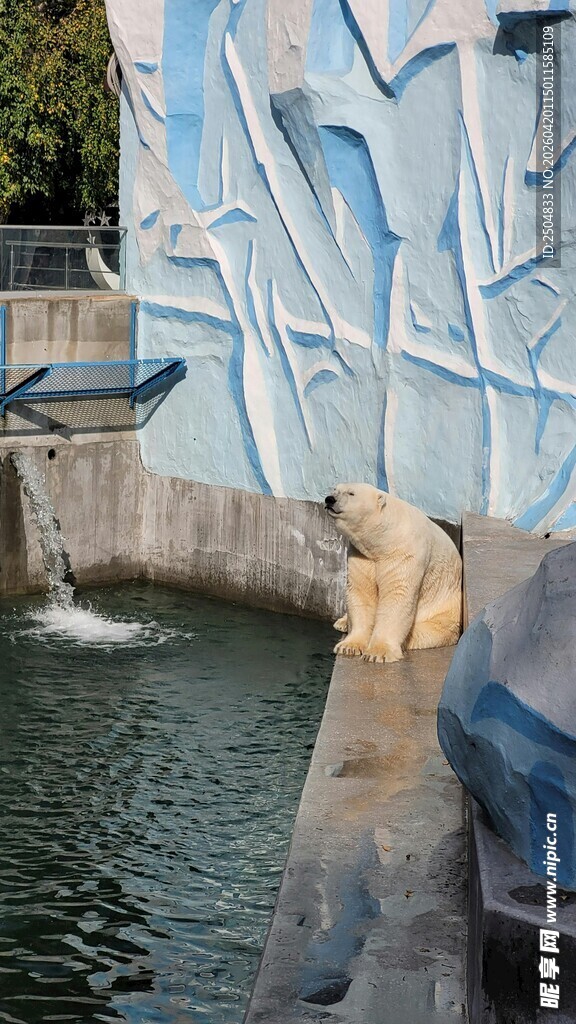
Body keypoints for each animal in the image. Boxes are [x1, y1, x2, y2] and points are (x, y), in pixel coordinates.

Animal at [325, 483, 462, 663]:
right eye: (335, 490)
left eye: (351, 493)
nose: (329, 499)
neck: (383, 540)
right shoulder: (362, 555)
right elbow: (361, 592)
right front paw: (349, 646)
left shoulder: (404, 553)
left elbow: (397, 594)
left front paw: (378, 652)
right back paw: (342, 621)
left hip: (446, 612)